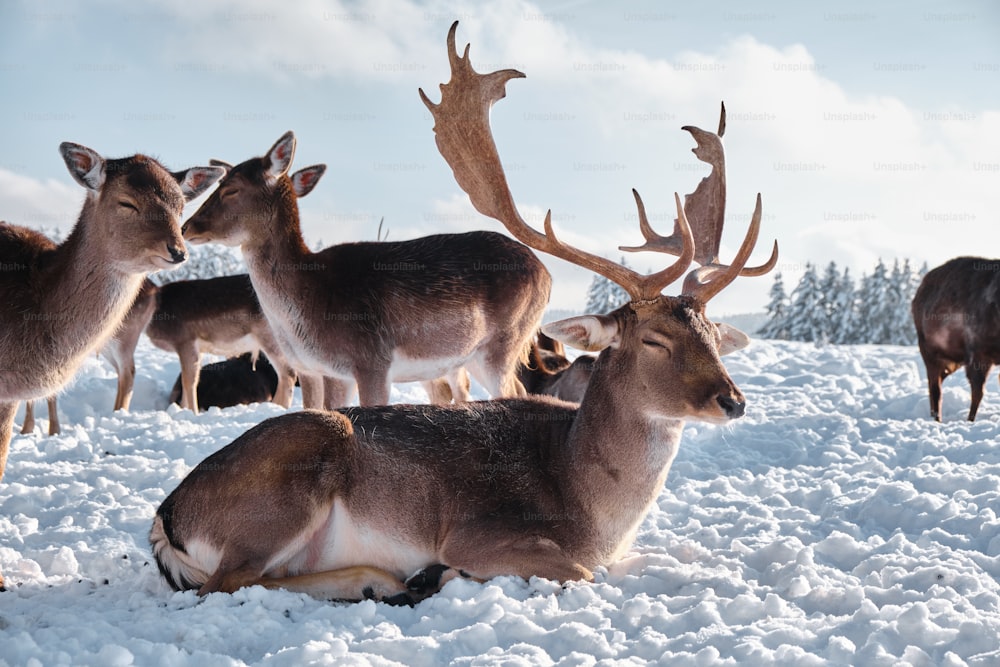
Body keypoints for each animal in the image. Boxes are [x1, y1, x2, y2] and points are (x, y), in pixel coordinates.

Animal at [183, 133, 552, 410]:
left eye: (231, 189)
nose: (187, 227)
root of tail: (546, 274)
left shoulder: (372, 359)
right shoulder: (328, 371)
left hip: (504, 342)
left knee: (515, 391)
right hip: (472, 356)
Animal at [912, 258, 1000, 422]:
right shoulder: (977, 352)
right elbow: (977, 391)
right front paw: (970, 420)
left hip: (952, 360)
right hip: (927, 350)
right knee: (935, 388)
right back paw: (937, 419)